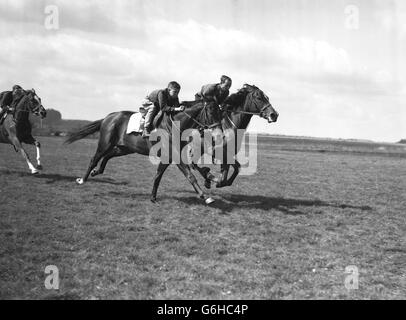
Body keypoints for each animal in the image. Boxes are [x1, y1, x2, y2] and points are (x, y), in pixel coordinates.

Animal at [65, 82, 278, 202]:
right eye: (259, 97)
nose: (274, 114)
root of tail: (109, 116)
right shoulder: (200, 151)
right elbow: (204, 171)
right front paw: (211, 184)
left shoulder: (223, 152)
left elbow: (234, 169)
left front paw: (213, 181)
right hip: (106, 142)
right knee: (95, 157)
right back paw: (83, 178)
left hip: (125, 147)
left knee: (108, 156)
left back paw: (96, 172)